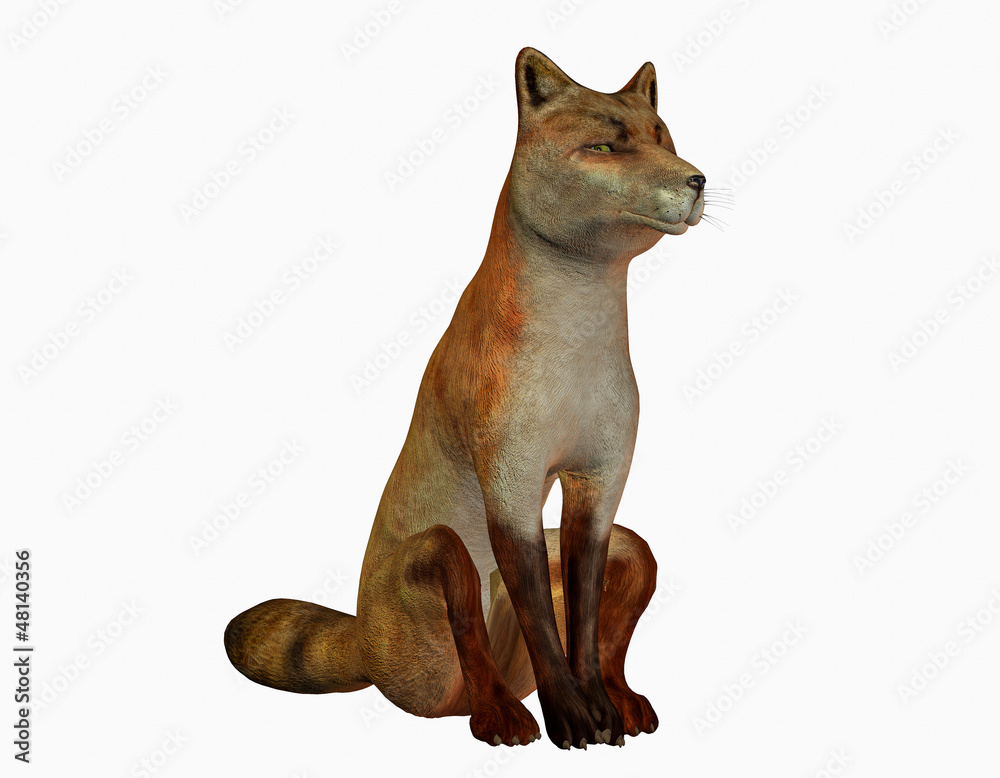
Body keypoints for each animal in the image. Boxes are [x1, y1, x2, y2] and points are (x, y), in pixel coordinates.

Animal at [225, 46, 706, 750]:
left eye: (662, 139)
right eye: (604, 146)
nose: (697, 179)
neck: (578, 350)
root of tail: (362, 639)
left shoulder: (599, 484)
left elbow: (584, 623)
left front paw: (597, 707)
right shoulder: (510, 482)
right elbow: (544, 623)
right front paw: (569, 716)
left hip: (627, 548)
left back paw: (619, 703)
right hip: (438, 550)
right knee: (471, 648)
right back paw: (501, 715)